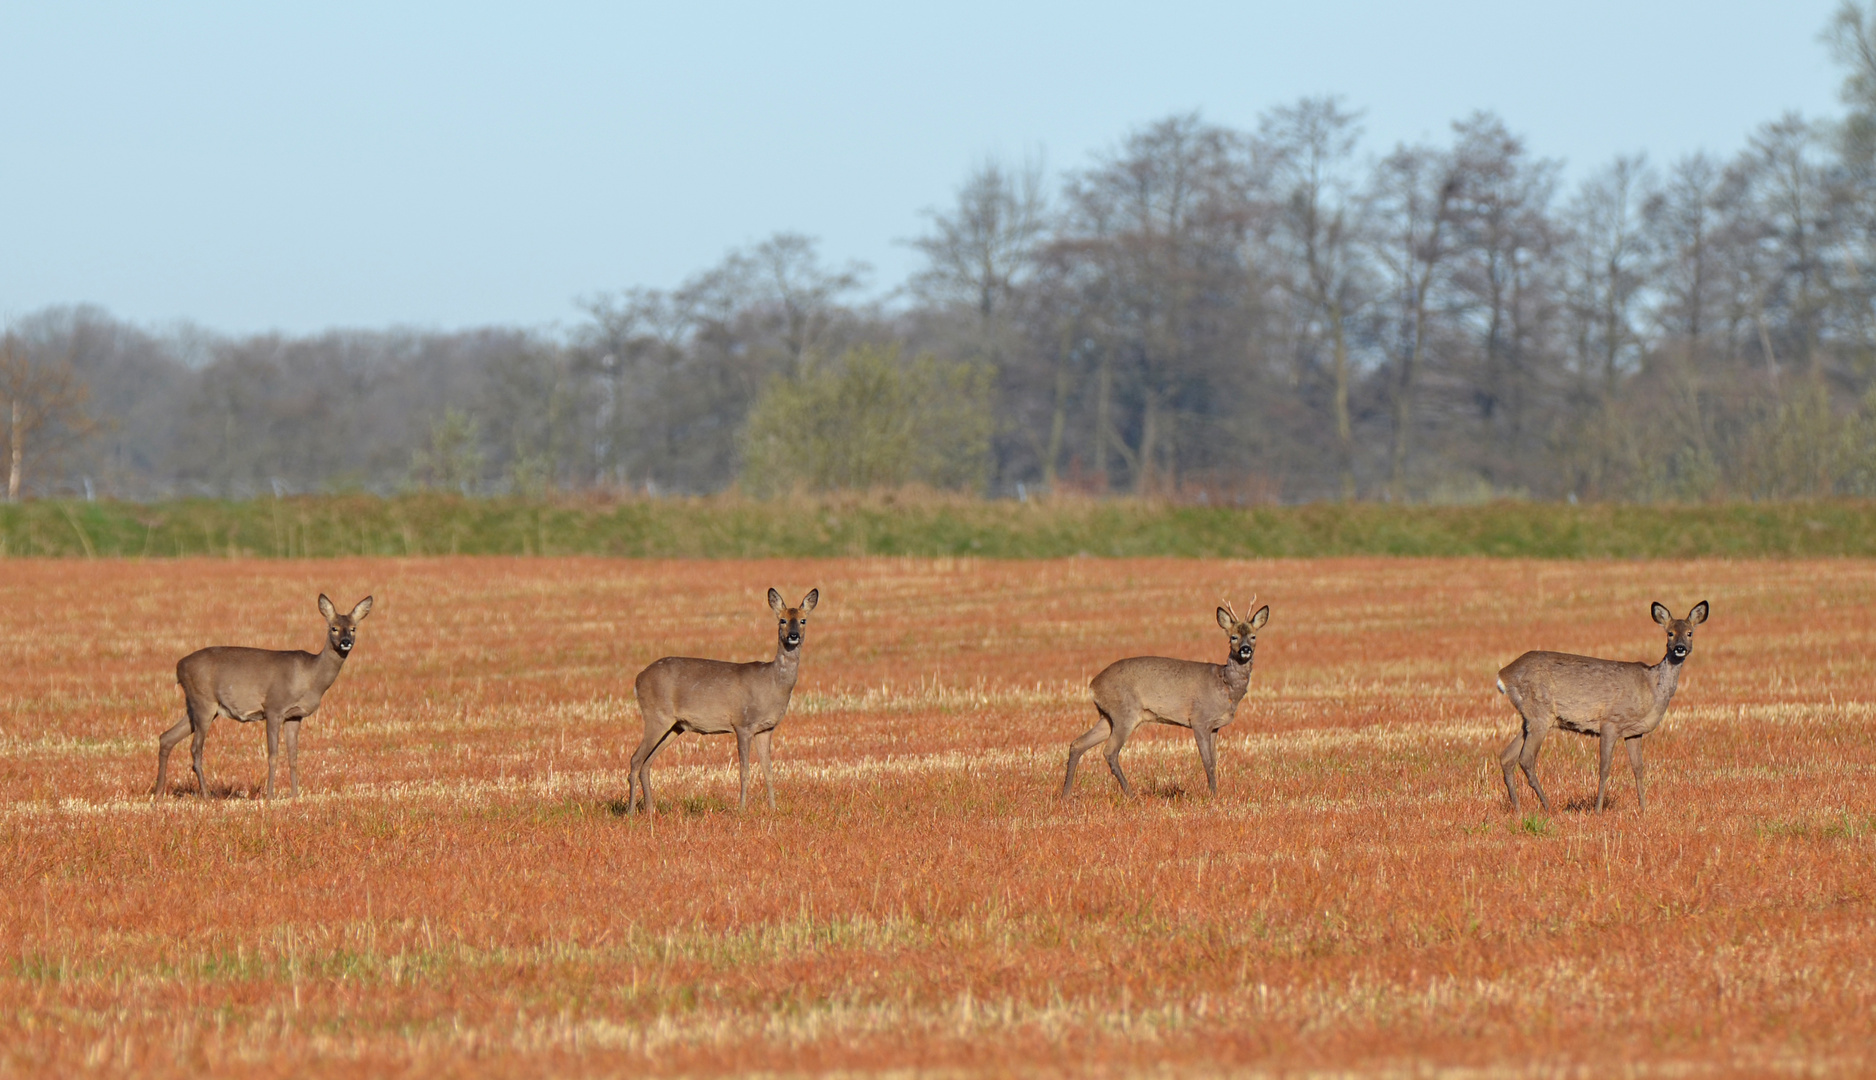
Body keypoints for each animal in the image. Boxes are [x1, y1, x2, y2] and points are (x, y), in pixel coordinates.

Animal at [155, 596, 375, 798]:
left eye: (353, 628)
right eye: (334, 628)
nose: (346, 642)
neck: (311, 676)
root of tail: (179, 666)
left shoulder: (295, 715)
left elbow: (293, 756)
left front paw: (295, 795)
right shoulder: (274, 707)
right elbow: (273, 755)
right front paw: (270, 795)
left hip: (197, 706)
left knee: (166, 737)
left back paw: (158, 793)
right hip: (204, 702)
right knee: (195, 748)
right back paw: (206, 795)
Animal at [626, 585, 817, 813]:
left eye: (803, 620)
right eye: (782, 620)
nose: (793, 636)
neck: (772, 683)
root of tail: (638, 679)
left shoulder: (766, 729)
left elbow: (769, 770)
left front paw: (773, 809)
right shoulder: (743, 723)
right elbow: (744, 771)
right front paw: (742, 809)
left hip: (675, 726)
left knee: (646, 762)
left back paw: (650, 810)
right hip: (656, 716)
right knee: (636, 759)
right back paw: (630, 812)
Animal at [1065, 603, 1268, 798]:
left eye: (1253, 636)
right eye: (1233, 637)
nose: (1245, 649)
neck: (1225, 685)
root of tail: (1092, 686)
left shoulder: (1215, 726)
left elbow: (1215, 761)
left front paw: (1215, 793)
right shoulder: (1199, 719)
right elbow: (1207, 762)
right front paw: (1213, 796)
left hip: (1107, 716)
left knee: (1077, 744)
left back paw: (1065, 795)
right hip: (1125, 713)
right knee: (1110, 751)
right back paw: (1132, 795)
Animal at [1500, 596, 1710, 813]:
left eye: (1690, 633)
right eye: (1670, 633)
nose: (1680, 648)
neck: (1652, 687)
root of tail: (1503, 675)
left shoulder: (1634, 731)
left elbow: (1638, 768)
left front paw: (1643, 808)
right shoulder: (1610, 721)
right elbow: (1604, 768)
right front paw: (1598, 809)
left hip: (1529, 719)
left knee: (1507, 757)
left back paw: (1518, 809)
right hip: (1540, 713)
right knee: (1526, 759)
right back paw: (1548, 806)